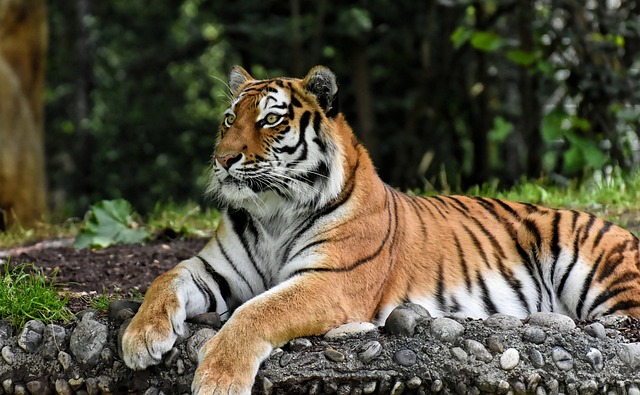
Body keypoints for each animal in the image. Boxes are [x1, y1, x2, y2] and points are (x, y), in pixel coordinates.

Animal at [122, 66, 640, 394]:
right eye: (230, 118)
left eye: (270, 119)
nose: (224, 159)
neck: (273, 212)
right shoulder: (215, 268)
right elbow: (165, 277)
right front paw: (140, 338)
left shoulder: (330, 281)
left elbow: (257, 312)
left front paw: (218, 378)